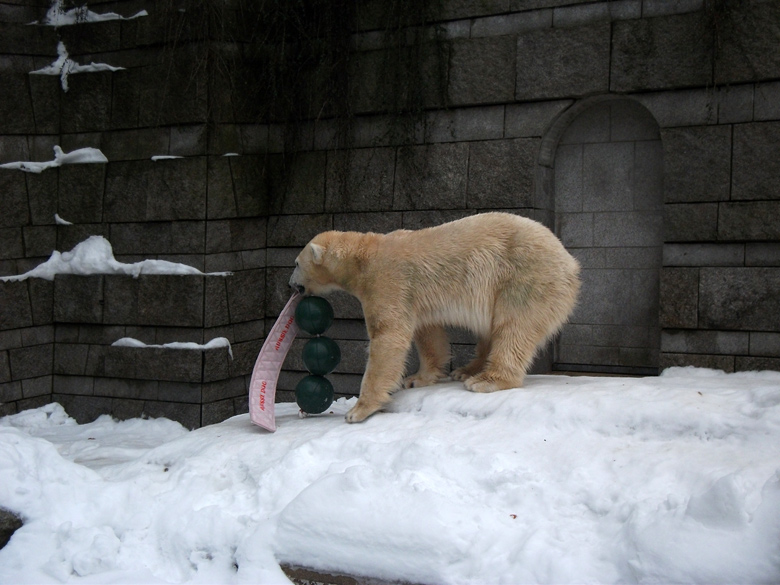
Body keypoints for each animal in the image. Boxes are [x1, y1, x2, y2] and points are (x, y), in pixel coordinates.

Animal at [290, 212, 580, 422]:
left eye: (295, 263)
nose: (291, 284)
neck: (363, 258)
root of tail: (571, 263)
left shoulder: (387, 281)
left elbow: (389, 336)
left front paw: (358, 410)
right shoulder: (413, 295)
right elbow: (428, 331)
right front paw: (418, 378)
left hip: (526, 276)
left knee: (514, 327)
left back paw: (486, 380)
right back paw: (466, 370)